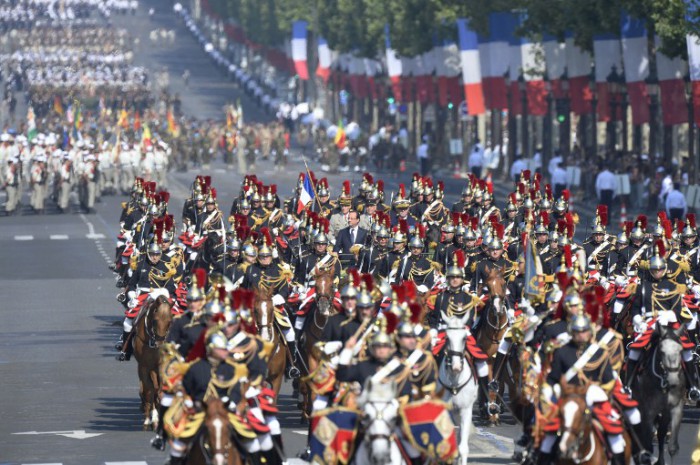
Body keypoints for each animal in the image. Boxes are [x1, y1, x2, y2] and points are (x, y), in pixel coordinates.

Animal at [133, 296, 174, 430]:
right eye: (155, 321)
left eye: (169, 322)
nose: (160, 346)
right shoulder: (143, 367)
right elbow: (148, 391)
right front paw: (148, 420)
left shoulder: (161, 366)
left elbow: (159, 390)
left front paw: (157, 419)